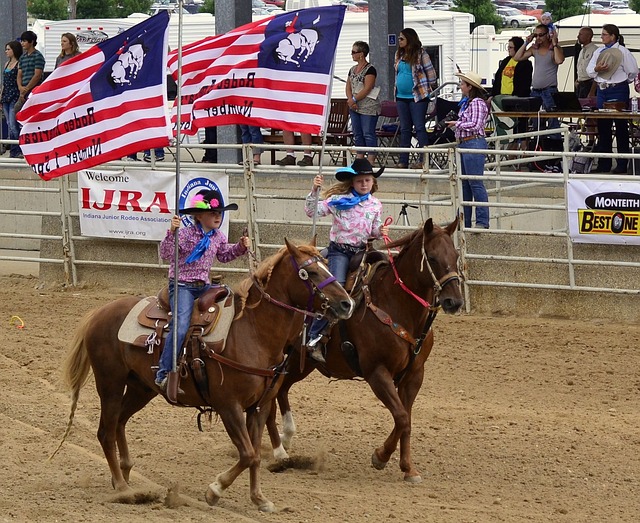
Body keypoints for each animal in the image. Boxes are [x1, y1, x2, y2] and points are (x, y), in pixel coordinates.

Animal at [57, 241, 352, 512]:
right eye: (308, 272)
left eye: (326, 264)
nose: (346, 303)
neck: (253, 332)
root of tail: (99, 313)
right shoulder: (228, 405)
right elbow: (247, 454)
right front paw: (215, 490)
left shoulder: (259, 406)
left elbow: (255, 454)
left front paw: (259, 499)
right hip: (110, 384)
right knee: (105, 431)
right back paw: (122, 488)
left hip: (142, 387)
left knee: (119, 422)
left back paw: (126, 472)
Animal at [268, 217, 462, 484]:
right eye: (431, 257)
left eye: (455, 255)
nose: (455, 301)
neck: (394, 304)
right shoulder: (377, 372)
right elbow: (401, 417)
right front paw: (380, 457)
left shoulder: (414, 375)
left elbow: (406, 419)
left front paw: (408, 468)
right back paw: (276, 451)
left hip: (303, 362)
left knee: (282, 389)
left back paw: (286, 438)